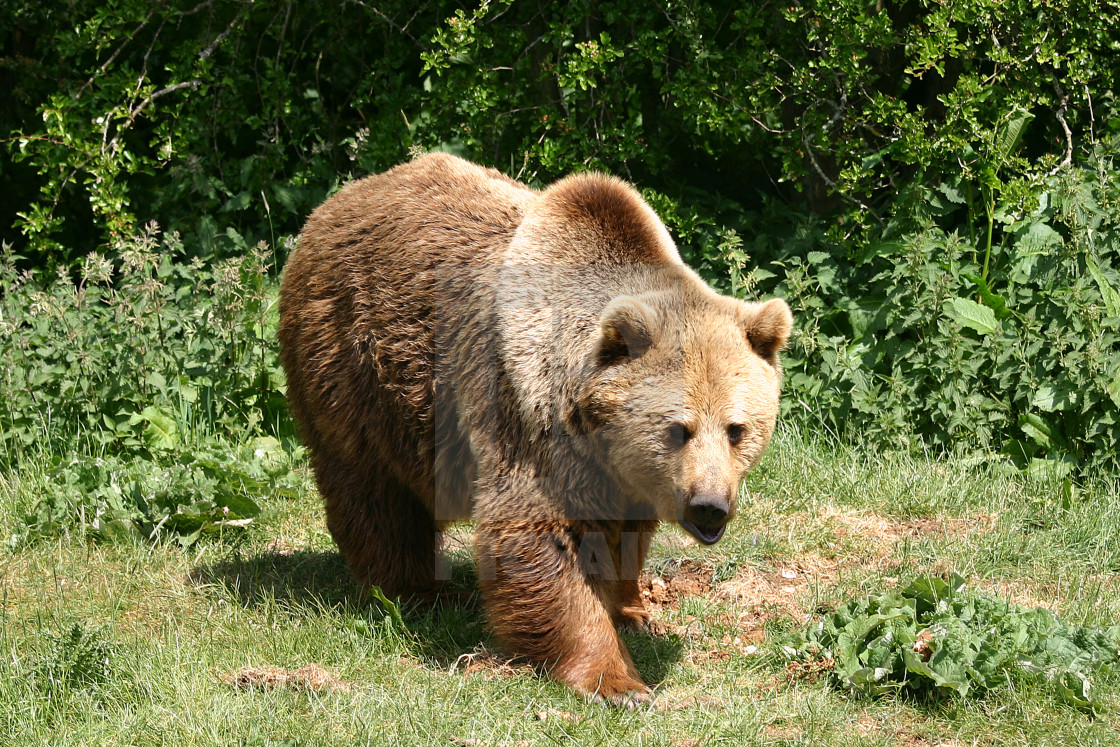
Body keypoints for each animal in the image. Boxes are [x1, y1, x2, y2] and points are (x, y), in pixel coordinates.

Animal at [275, 153, 792, 707]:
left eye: (737, 429)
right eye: (679, 429)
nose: (709, 506)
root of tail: (333, 205)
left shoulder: (623, 477)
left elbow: (622, 537)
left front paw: (632, 612)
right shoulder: (528, 416)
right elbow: (539, 537)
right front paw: (617, 681)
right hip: (356, 363)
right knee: (375, 489)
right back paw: (413, 591)